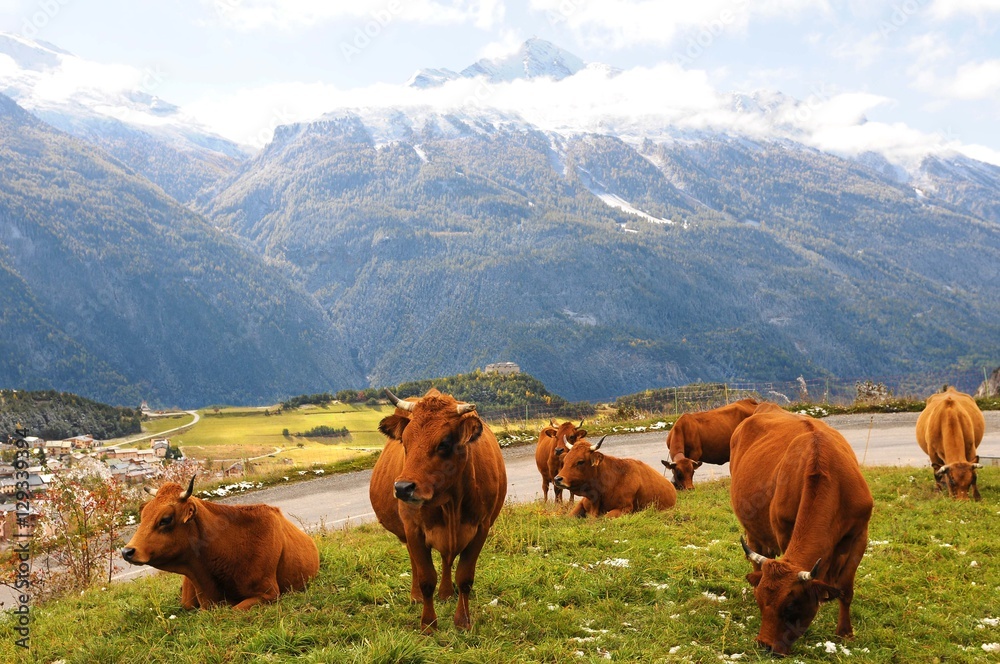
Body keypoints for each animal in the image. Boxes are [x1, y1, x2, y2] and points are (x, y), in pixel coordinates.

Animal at [370, 388, 507, 631]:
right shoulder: (414, 530)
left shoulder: (481, 528)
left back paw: (446, 593)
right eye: (405, 441)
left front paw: (462, 621)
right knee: (416, 562)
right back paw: (416, 596)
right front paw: (428, 624)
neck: (451, 503)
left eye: (444, 443)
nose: (402, 487)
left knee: (446, 559)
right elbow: (426, 578)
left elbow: (464, 578)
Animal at [730, 408, 873, 656]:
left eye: (790, 606)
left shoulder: (859, 534)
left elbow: (845, 589)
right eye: (760, 601)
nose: (764, 645)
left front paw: (845, 632)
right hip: (753, 531)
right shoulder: (784, 532)